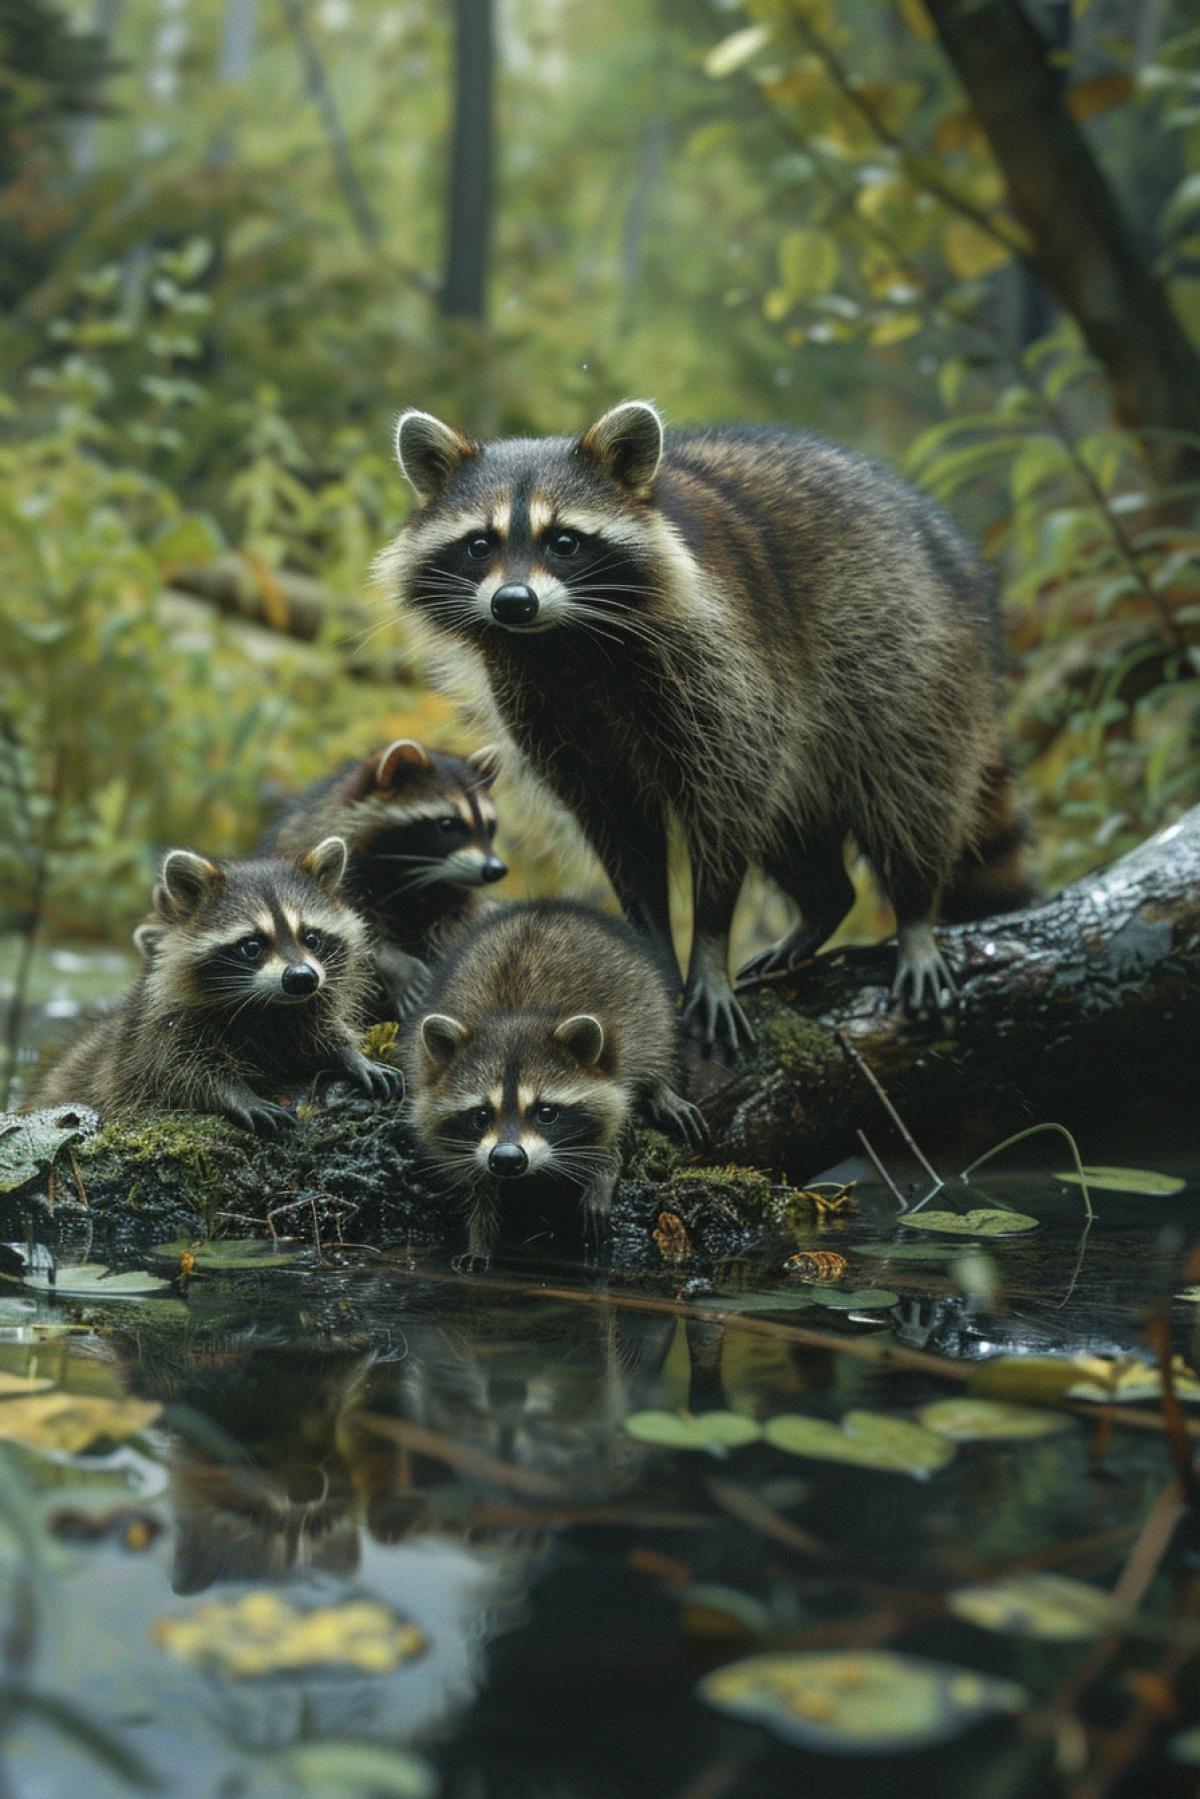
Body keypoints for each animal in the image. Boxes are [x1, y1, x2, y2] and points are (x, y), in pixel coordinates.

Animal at [31, 839, 401, 1134]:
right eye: (251, 946)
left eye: (311, 938)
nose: (301, 978)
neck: (267, 1006)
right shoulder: (160, 1030)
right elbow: (179, 1073)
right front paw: (237, 1095)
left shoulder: (305, 1006)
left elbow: (318, 1034)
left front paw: (350, 1054)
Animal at [266, 738, 506, 1018]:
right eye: (447, 824)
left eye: (490, 827)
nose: (495, 869)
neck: (417, 881)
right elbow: (358, 937)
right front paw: (399, 965)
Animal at [379, 402, 1035, 1058]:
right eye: (479, 545)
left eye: (564, 542)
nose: (513, 602)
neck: (564, 642)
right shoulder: (551, 711)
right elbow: (622, 830)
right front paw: (654, 955)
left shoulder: (721, 667)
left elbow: (727, 811)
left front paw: (710, 948)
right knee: (793, 827)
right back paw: (824, 903)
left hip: (908, 653)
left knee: (907, 786)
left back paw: (914, 908)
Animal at [403, 901, 705, 1264]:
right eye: (481, 1115)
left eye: (545, 1113)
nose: (507, 1159)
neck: (513, 1017)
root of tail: (547, 908)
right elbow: (475, 1186)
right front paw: (479, 1233)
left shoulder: (614, 1076)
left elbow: (617, 1127)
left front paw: (603, 1172)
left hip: (644, 993)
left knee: (654, 1040)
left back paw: (662, 1088)